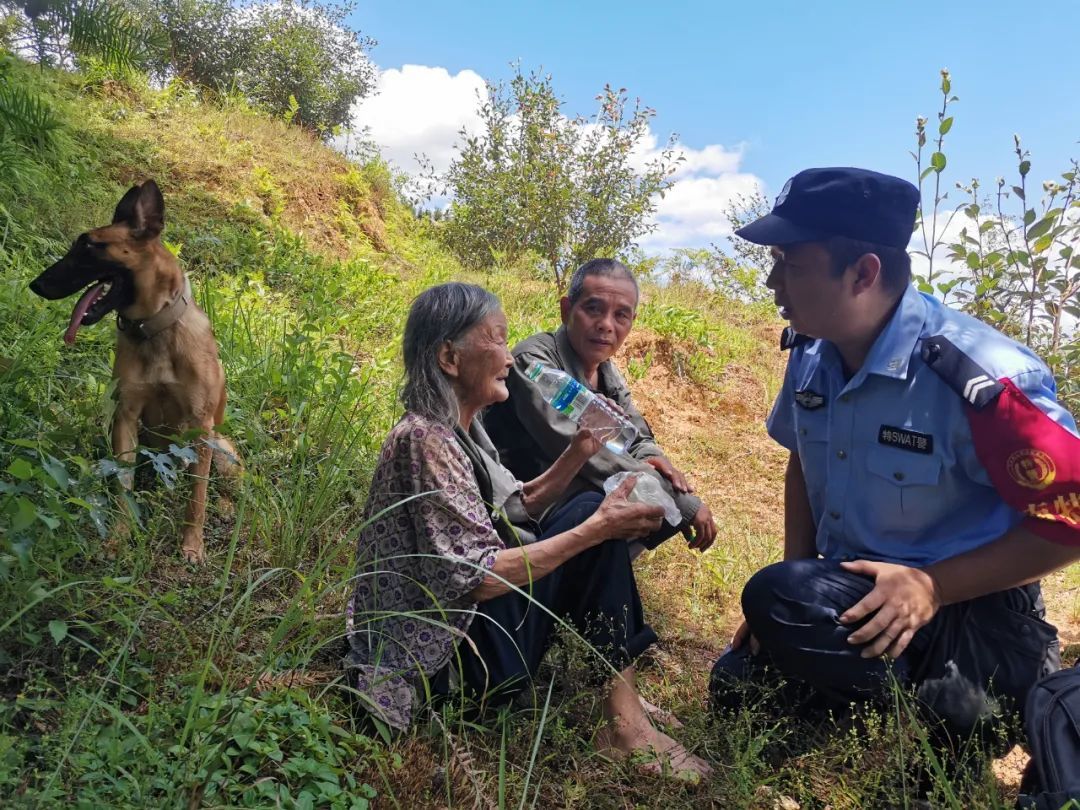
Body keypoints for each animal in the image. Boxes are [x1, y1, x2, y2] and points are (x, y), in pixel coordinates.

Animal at [29, 181, 238, 565]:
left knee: (225, 485)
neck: (155, 331)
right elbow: (122, 484)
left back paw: (228, 507)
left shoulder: (201, 426)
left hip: (221, 447)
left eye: (89, 247)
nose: (37, 285)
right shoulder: (125, 417)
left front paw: (192, 545)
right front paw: (118, 538)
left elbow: (197, 497)